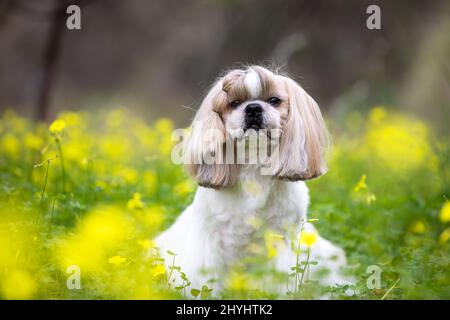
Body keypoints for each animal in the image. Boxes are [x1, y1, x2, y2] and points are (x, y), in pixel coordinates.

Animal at [156, 65, 350, 296]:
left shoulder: (282, 241)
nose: (253, 108)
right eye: (234, 103)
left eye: (274, 100)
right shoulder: (209, 241)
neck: (254, 165)